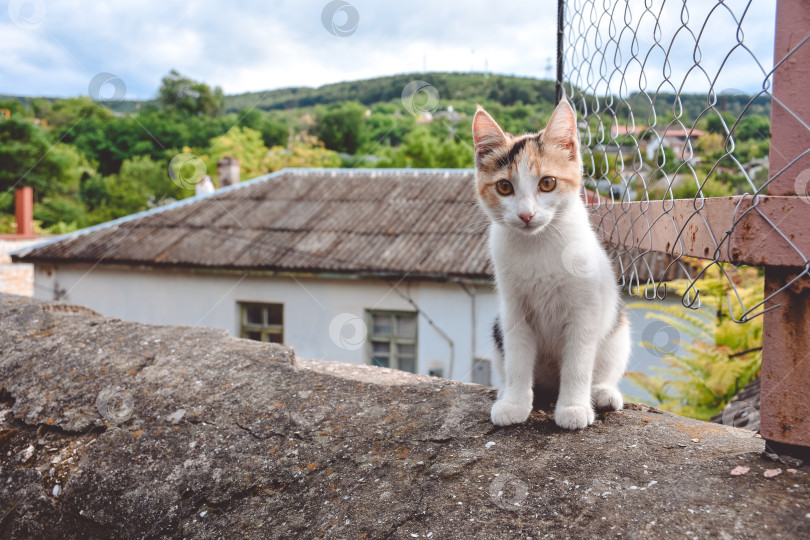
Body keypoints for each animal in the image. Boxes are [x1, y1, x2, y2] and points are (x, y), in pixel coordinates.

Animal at [470, 98, 628, 430]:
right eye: (504, 187)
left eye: (547, 183)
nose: (526, 215)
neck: (538, 244)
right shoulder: (514, 309)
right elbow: (517, 360)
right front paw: (515, 404)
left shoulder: (585, 311)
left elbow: (578, 364)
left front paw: (573, 408)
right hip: (498, 327)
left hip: (618, 330)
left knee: (604, 367)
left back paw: (602, 394)